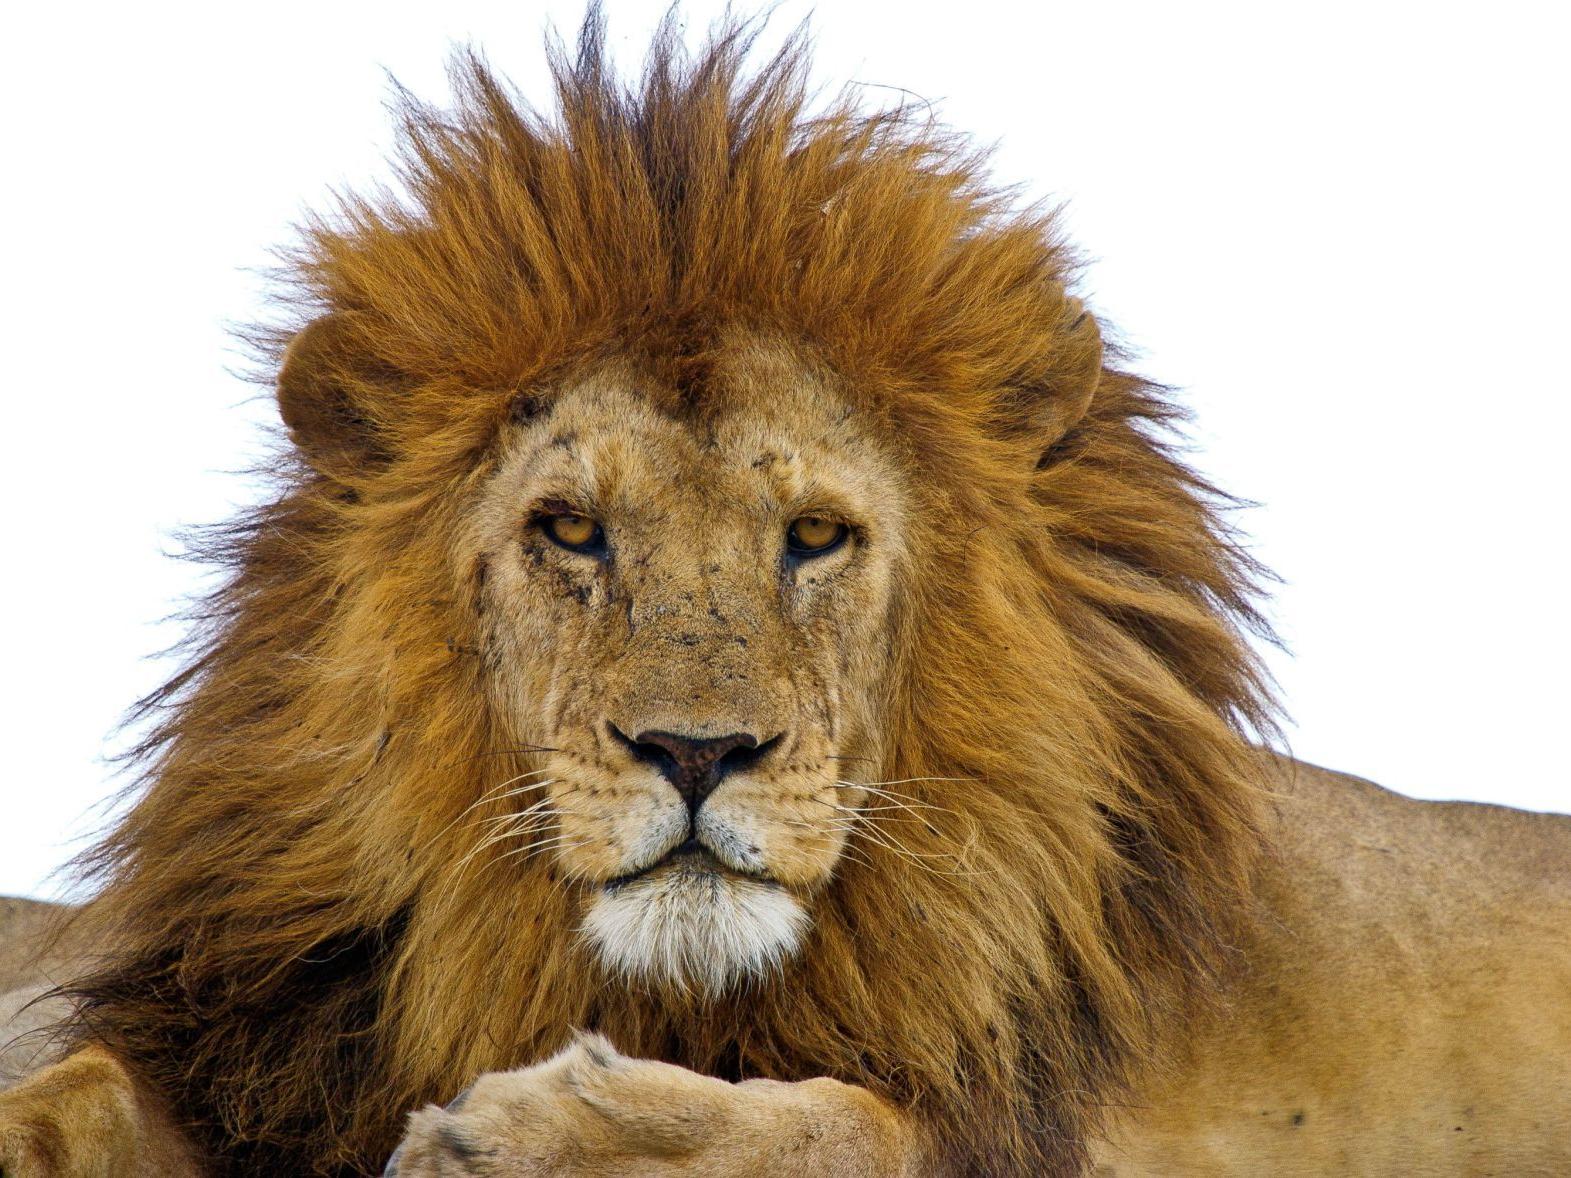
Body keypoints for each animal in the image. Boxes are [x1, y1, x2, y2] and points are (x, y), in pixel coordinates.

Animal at [3, 13, 1569, 1178]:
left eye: (812, 534)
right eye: (570, 528)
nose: (696, 754)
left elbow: (855, 1126)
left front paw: (558, 1135)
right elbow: (77, 1083)